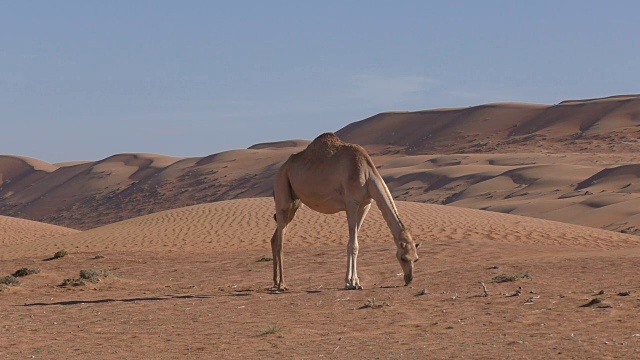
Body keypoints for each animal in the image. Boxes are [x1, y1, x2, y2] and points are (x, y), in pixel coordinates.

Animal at [270, 132, 420, 290]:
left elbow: (352, 243)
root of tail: (282, 168)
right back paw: (282, 284)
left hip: (295, 203)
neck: (368, 176)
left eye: (416, 259)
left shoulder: (365, 205)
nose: (409, 279)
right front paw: (352, 282)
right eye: (404, 258)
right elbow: (353, 244)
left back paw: (275, 281)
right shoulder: (351, 203)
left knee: (276, 237)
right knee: (280, 242)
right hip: (282, 188)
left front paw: (354, 281)